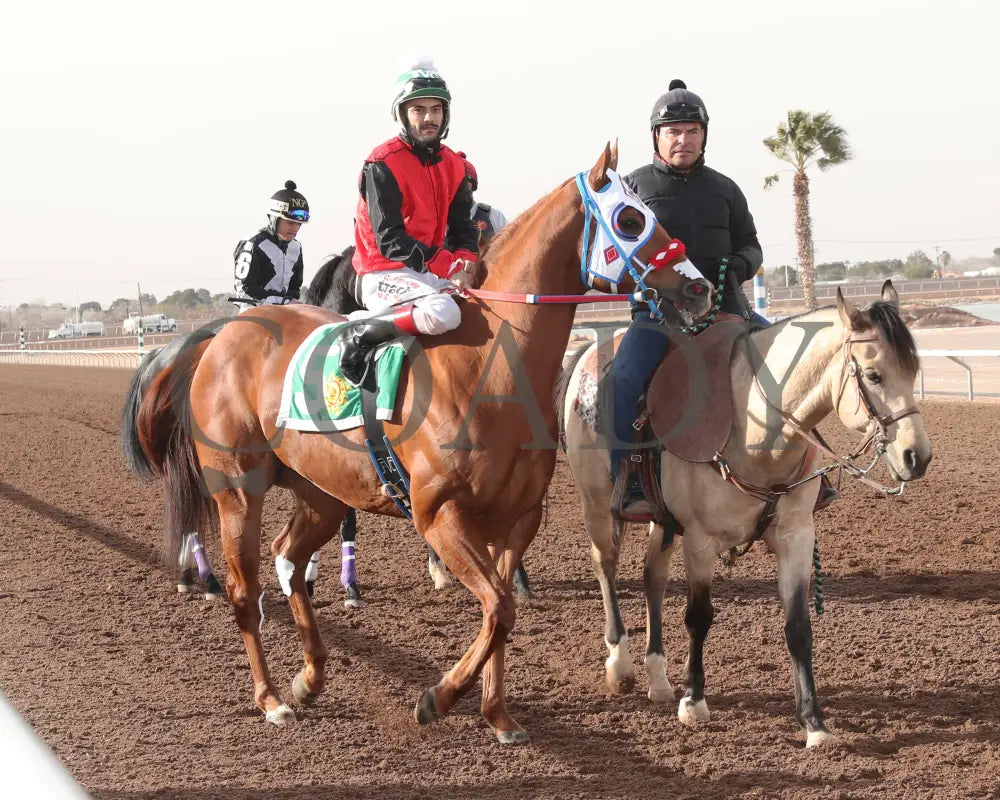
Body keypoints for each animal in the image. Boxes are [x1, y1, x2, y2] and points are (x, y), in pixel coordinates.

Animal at [121, 145, 716, 744]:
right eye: (631, 219)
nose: (700, 290)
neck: (488, 370)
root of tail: (221, 334)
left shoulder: (516, 518)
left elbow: (501, 611)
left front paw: (497, 714)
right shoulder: (439, 513)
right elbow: (498, 608)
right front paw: (439, 698)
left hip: (322, 492)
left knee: (287, 557)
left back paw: (309, 677)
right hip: (238, 491)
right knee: (246, 593)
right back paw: (270, 698)